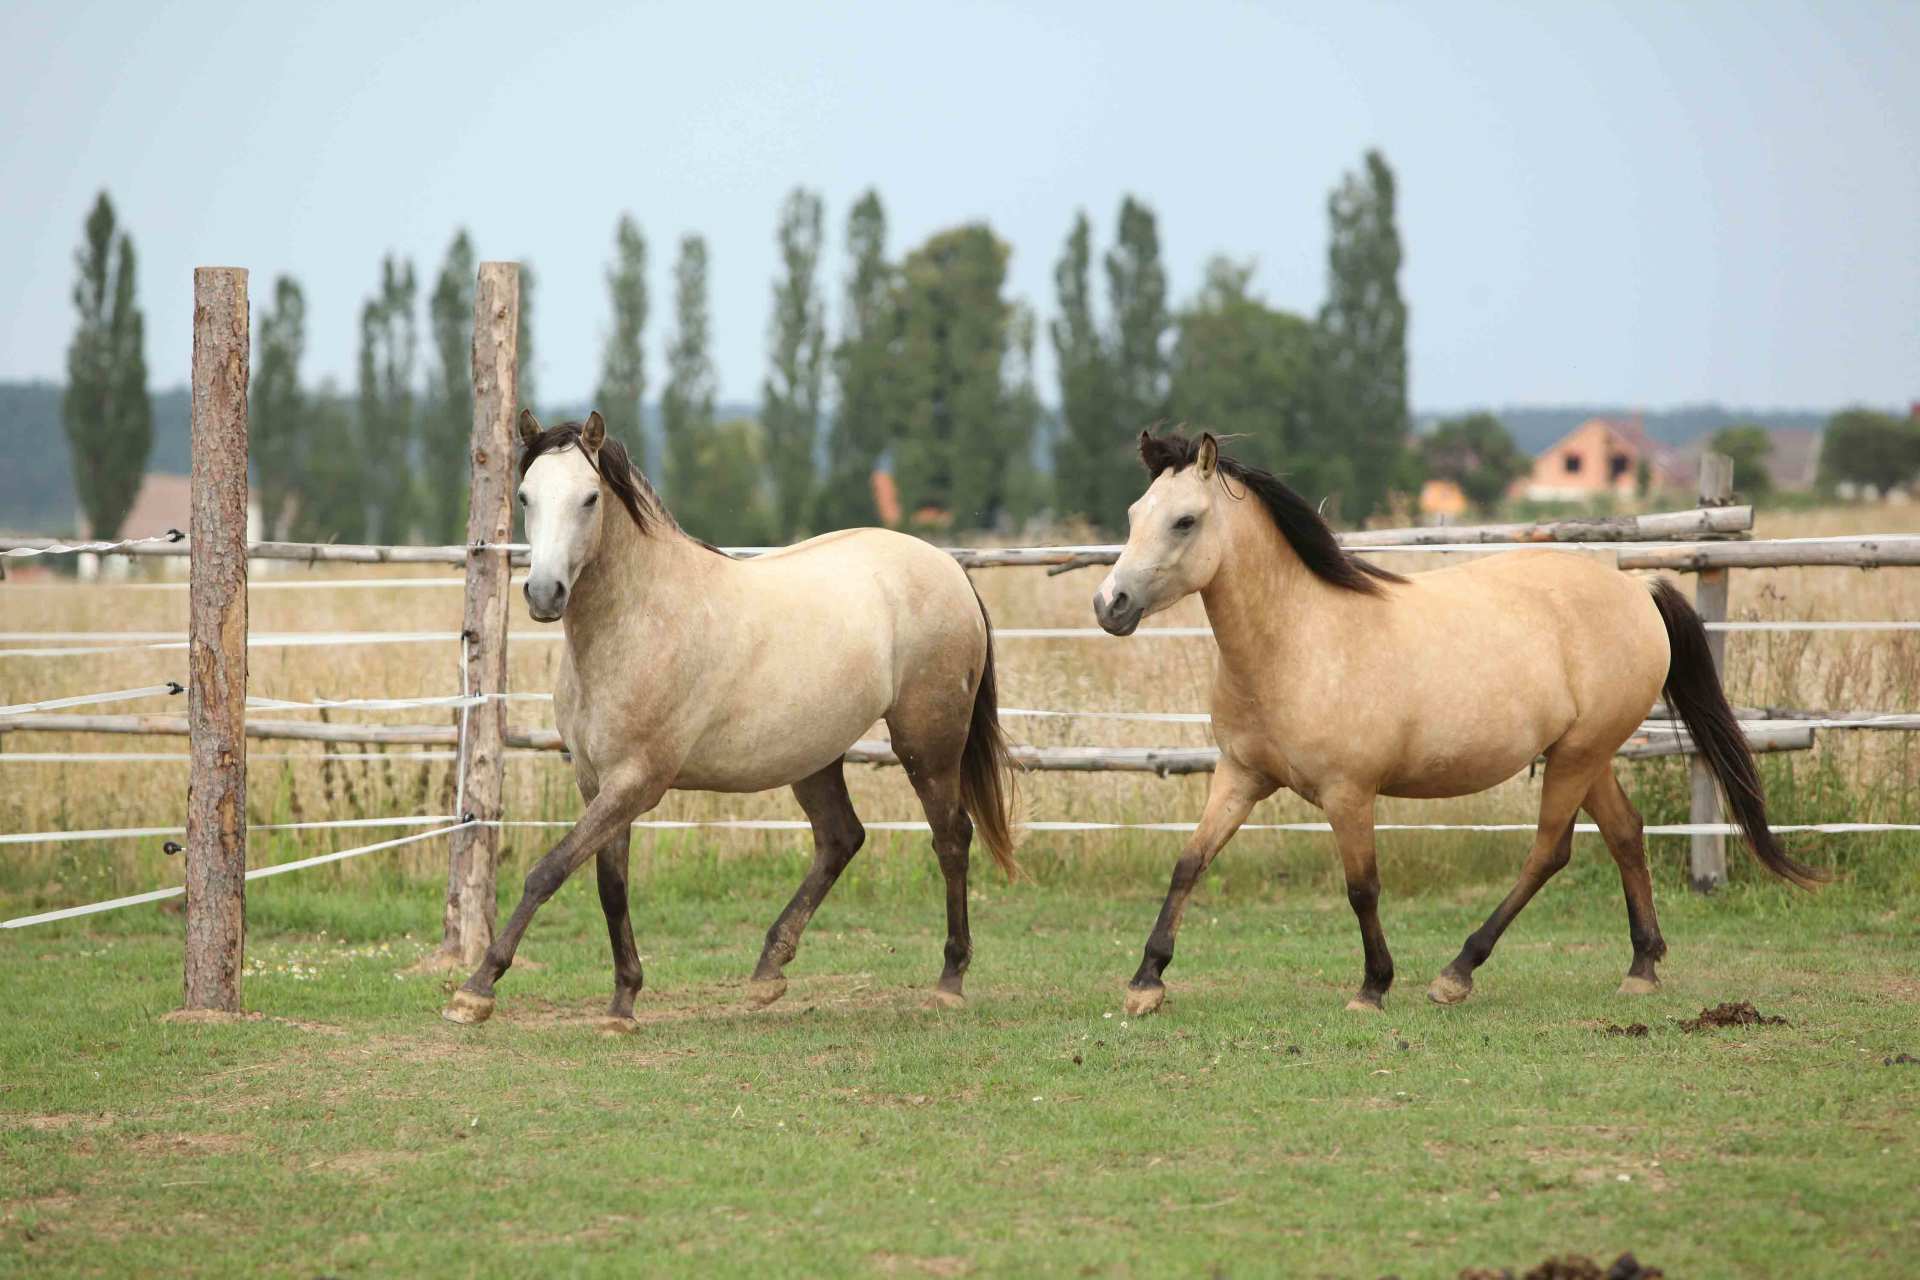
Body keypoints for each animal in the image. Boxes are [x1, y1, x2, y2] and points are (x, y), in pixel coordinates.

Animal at [442, 410, 1019, 1030]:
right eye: (526, 495)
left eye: (589, 498)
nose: (545, 593)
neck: (639, 622)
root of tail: (948, 567)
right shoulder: (597, 782)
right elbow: (610, 885)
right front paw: (623, 1002)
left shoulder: (636, 783)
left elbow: (548, 871)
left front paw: (475, 991)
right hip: (814, 756)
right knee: (841, 839)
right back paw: (768, 972)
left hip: (927, 743)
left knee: (951, 839)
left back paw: (949, 980)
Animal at [1092, 429, 1823, 1017]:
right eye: (1132, 514)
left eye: (1185, 521)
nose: (1109, 604)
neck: (1297, 640)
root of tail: (1635, 588)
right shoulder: (1240, 776)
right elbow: (1188, 863)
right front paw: (1146, 983)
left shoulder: (1349, 794)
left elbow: (1362, 888)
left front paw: (1373, 987)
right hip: (1586, 754)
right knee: (1624, 833)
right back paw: (1641, 967)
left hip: (1578, 755)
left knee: (1549, 852)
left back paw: (1456, 973)